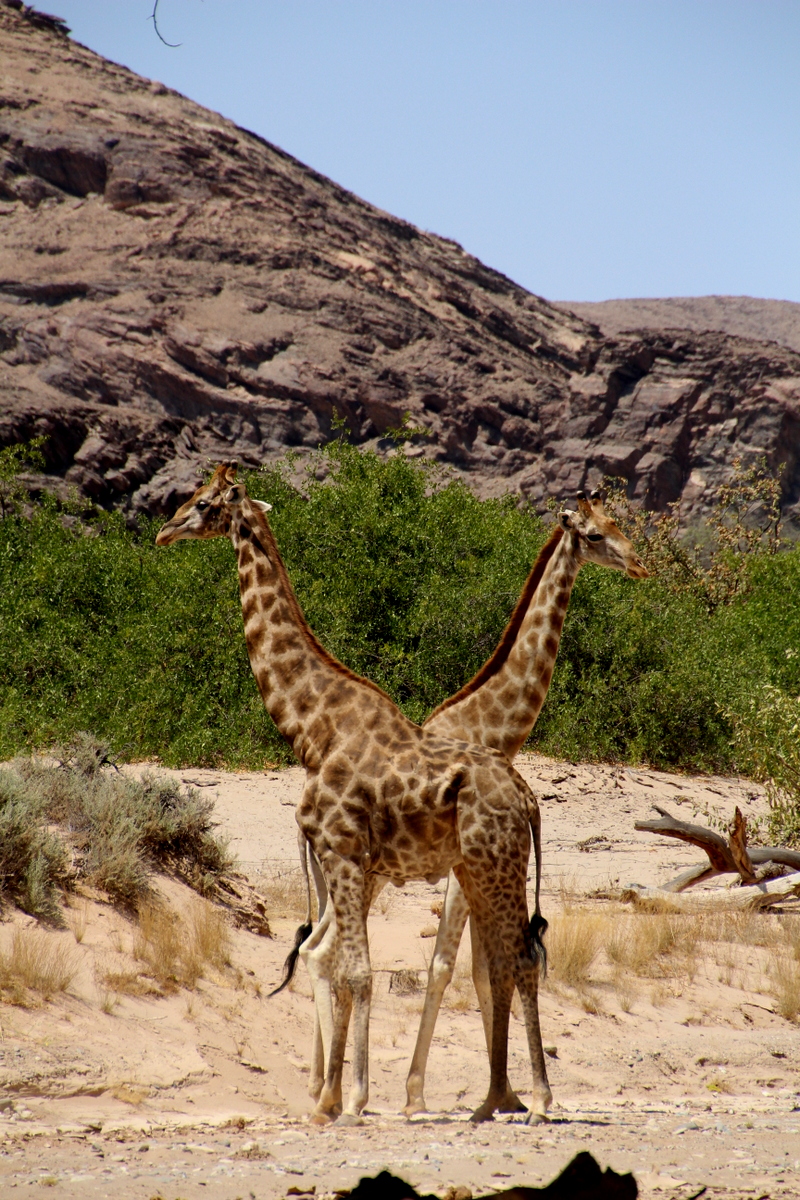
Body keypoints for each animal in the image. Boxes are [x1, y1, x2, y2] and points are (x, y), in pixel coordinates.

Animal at [155, 463, 551, 1127]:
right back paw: (503, 1099)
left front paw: (355, 1099)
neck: (310, 727)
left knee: (519, 958)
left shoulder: (341, 847)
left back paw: (539, 1099)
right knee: (500, 960)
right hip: (477, 869)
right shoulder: (349, 858)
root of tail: (529, 800)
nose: (163, 532)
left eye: (204, 502)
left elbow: (358, 971)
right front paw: (336, 1097)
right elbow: (338, 964)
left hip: (496, 864)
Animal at [295, 491, 648, 1114]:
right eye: (596, 535)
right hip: (366, 873)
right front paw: (424, 1095)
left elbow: (482, 966)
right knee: (328, 949)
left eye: (617, 523)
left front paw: (505, 1093)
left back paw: (322, 1087)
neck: (492, 724)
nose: (638, 565)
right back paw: (336, 1091)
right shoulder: (465, 868)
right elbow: (453, 967)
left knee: (322, 945)